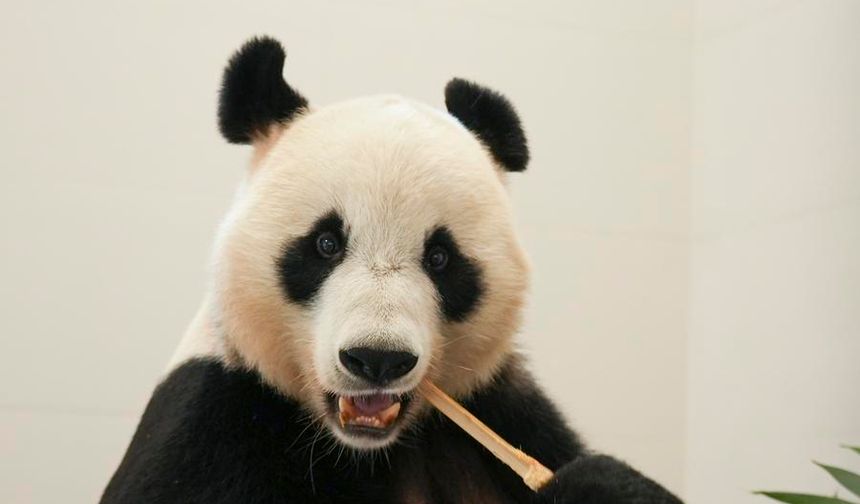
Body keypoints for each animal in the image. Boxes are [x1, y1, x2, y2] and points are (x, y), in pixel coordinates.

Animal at [101, 37, 682, 504]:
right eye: (326, 244)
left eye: (441, 258)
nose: (377, 360)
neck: (361, 449)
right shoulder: (214, 420)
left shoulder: (497, 408)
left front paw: (597, 481)